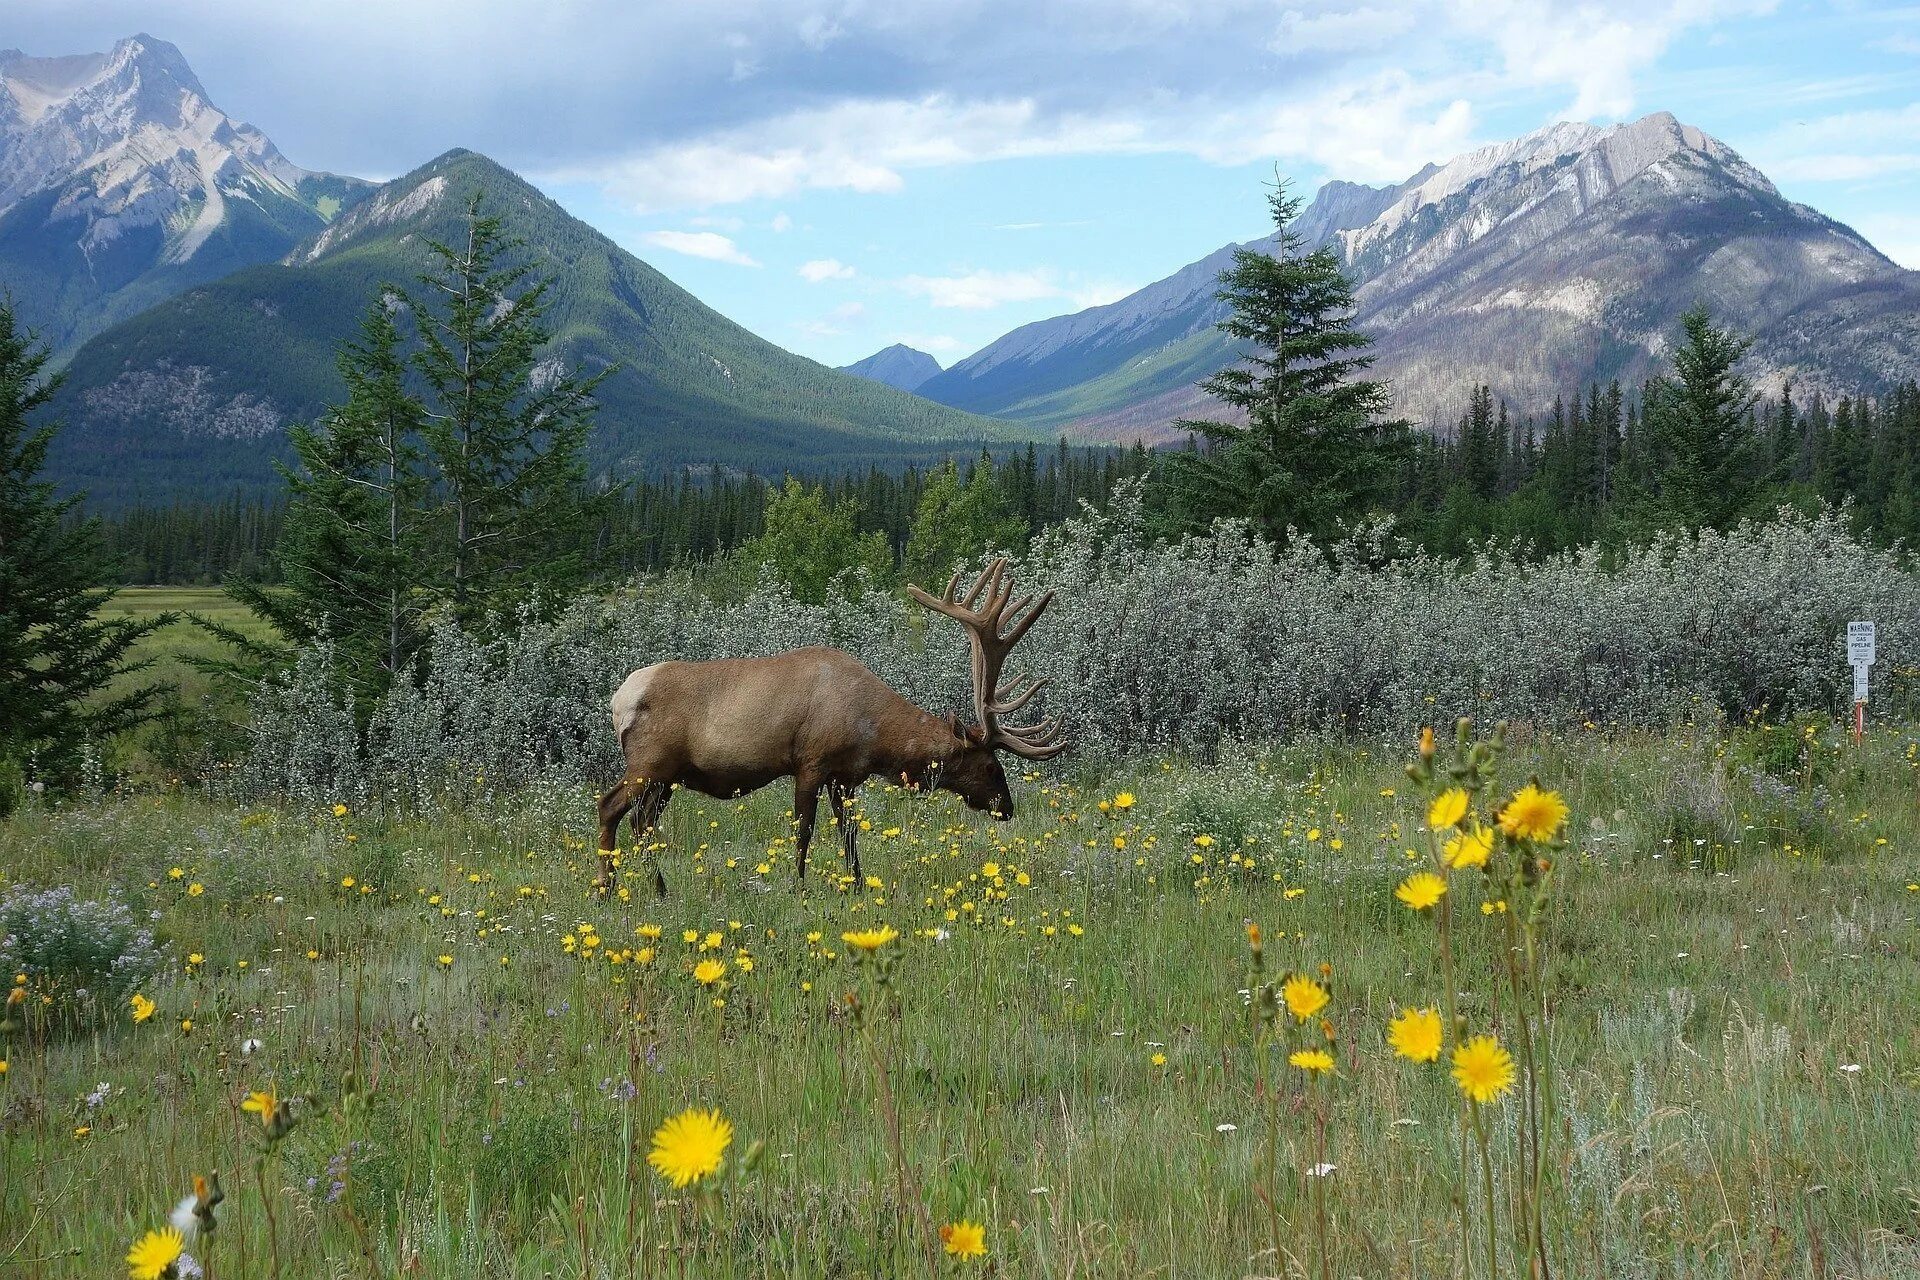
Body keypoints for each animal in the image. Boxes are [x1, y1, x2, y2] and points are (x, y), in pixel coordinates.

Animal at [595, 560, 1067, 901]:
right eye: (990, 766)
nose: (1007, 808)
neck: (875, 736)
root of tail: (619, 701)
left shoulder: (846, 775)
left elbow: (849, 832)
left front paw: (856, 885)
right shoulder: (810, 762)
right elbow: (803, 831)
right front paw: (798, 887)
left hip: (667, 778)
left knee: (642, 822)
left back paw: (659, 889)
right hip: (649, 763)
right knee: (610, 806)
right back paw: (607, 888)